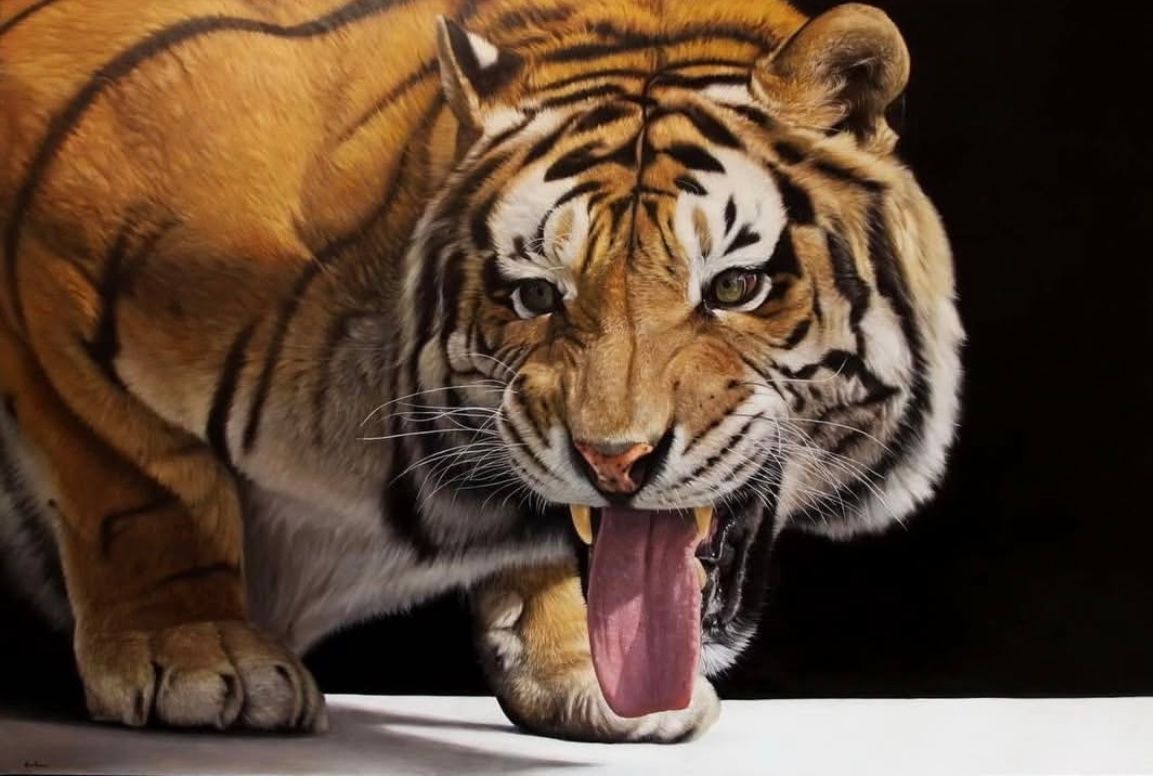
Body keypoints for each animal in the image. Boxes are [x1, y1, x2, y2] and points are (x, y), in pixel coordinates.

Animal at [0, 0, 962, 743]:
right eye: (535, 296)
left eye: (733, 286)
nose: (613, 461)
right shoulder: (55, 263)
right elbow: (139, 491)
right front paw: (198, 653)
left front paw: (585, 669)